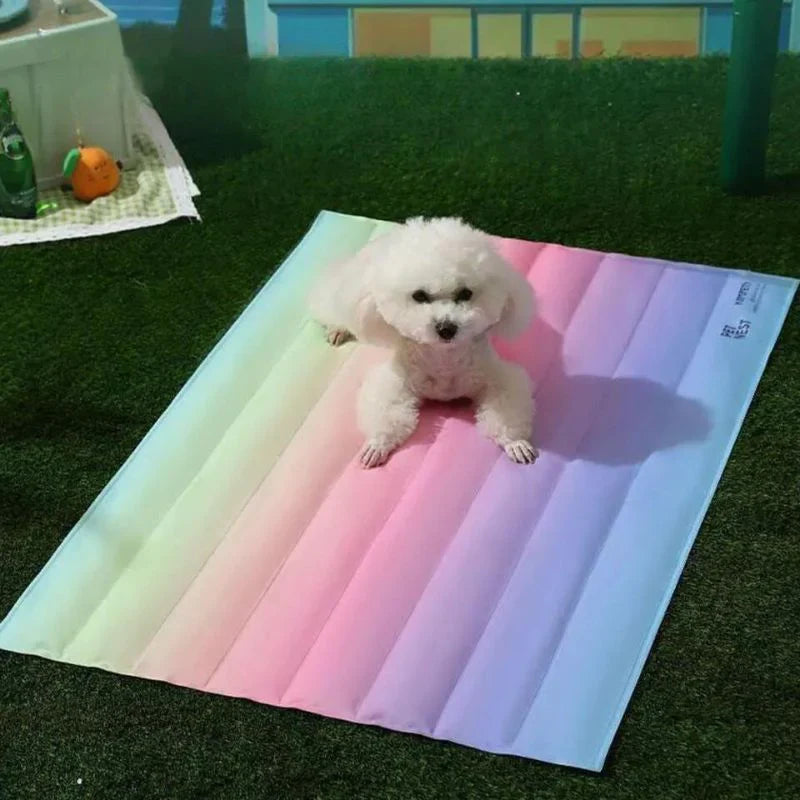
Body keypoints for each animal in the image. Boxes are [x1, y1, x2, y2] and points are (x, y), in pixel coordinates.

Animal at [310, 217, 540, 468]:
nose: (447, 328)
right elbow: (385, 411)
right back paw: (337, 329)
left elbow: (506, 408)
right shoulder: (395, 381)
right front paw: (377, 444)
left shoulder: (496, 378)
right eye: (419, 295)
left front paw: (516, 442)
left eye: (465, 293)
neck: (444, 357)